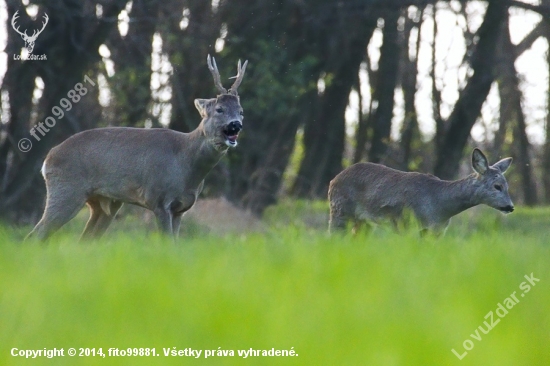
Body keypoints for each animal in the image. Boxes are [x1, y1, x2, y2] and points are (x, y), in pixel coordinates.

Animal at [27, 55, 249, 242]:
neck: (185, 163)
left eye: (241, 111)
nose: (236, 125)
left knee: (84, 240)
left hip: (104, 203)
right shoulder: (159, 198)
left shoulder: (180, 208)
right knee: (36, 234)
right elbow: (168, 243)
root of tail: (47, 159)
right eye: (219, 109)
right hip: (67, 189)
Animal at [332, 149, 516, 234]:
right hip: (340, 210)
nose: (510, 206)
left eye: (507, 185)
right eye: (497, 186)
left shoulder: (436, 232)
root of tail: (333, 179)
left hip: (364, 222)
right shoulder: (407, 225)